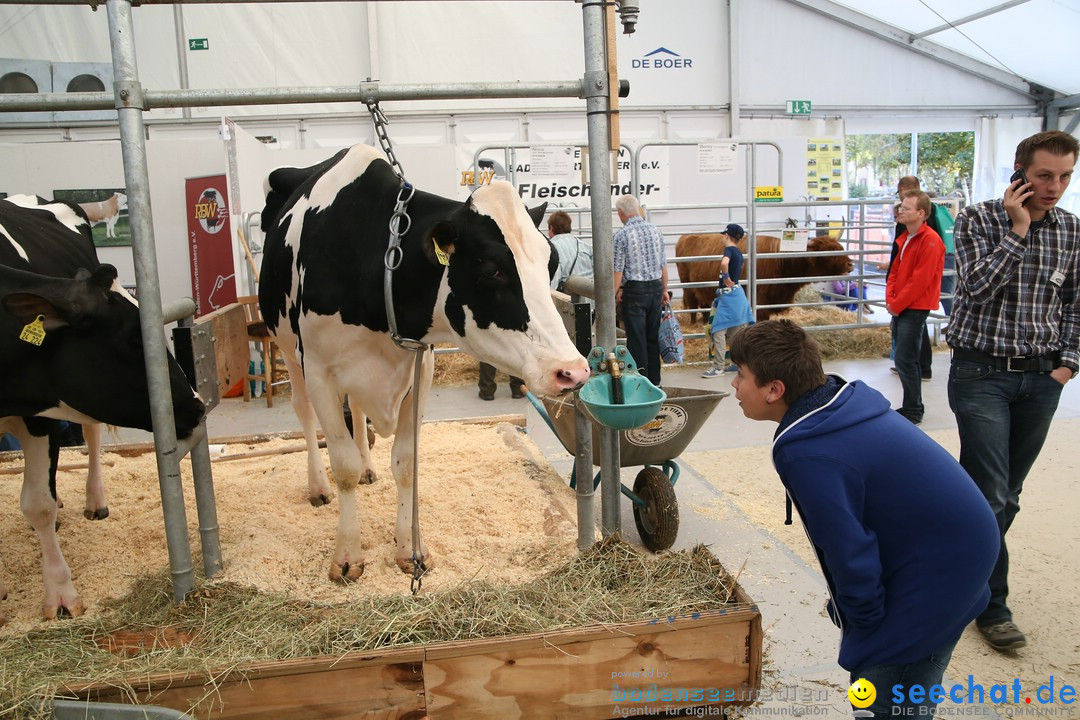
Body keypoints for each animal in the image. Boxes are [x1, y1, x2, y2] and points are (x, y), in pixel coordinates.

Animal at [1, 194, 206, 621]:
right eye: (134, 337)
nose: (198, 407)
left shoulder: (40, 414)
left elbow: (38, 504)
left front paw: (61, 596)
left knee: (91, 434)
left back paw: (94, 501)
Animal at [261, 143, 591, 582]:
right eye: (491, 268)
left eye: (551, 261)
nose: (572, 370)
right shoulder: (319, 370)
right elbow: (342, 463)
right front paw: (347, 557)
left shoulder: (421, 367)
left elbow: (406, 461)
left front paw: (409, 550)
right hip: (285, 345)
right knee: (303, 411)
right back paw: (318, 487)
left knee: (360, 412)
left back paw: (368, 469)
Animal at [673, 232, 851, 321]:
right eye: (829, 251)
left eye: (839, 247)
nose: (850, 264)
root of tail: (685, 236)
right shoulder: (761, 301)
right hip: (687, 285)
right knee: (692, 304)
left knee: (703, 305)